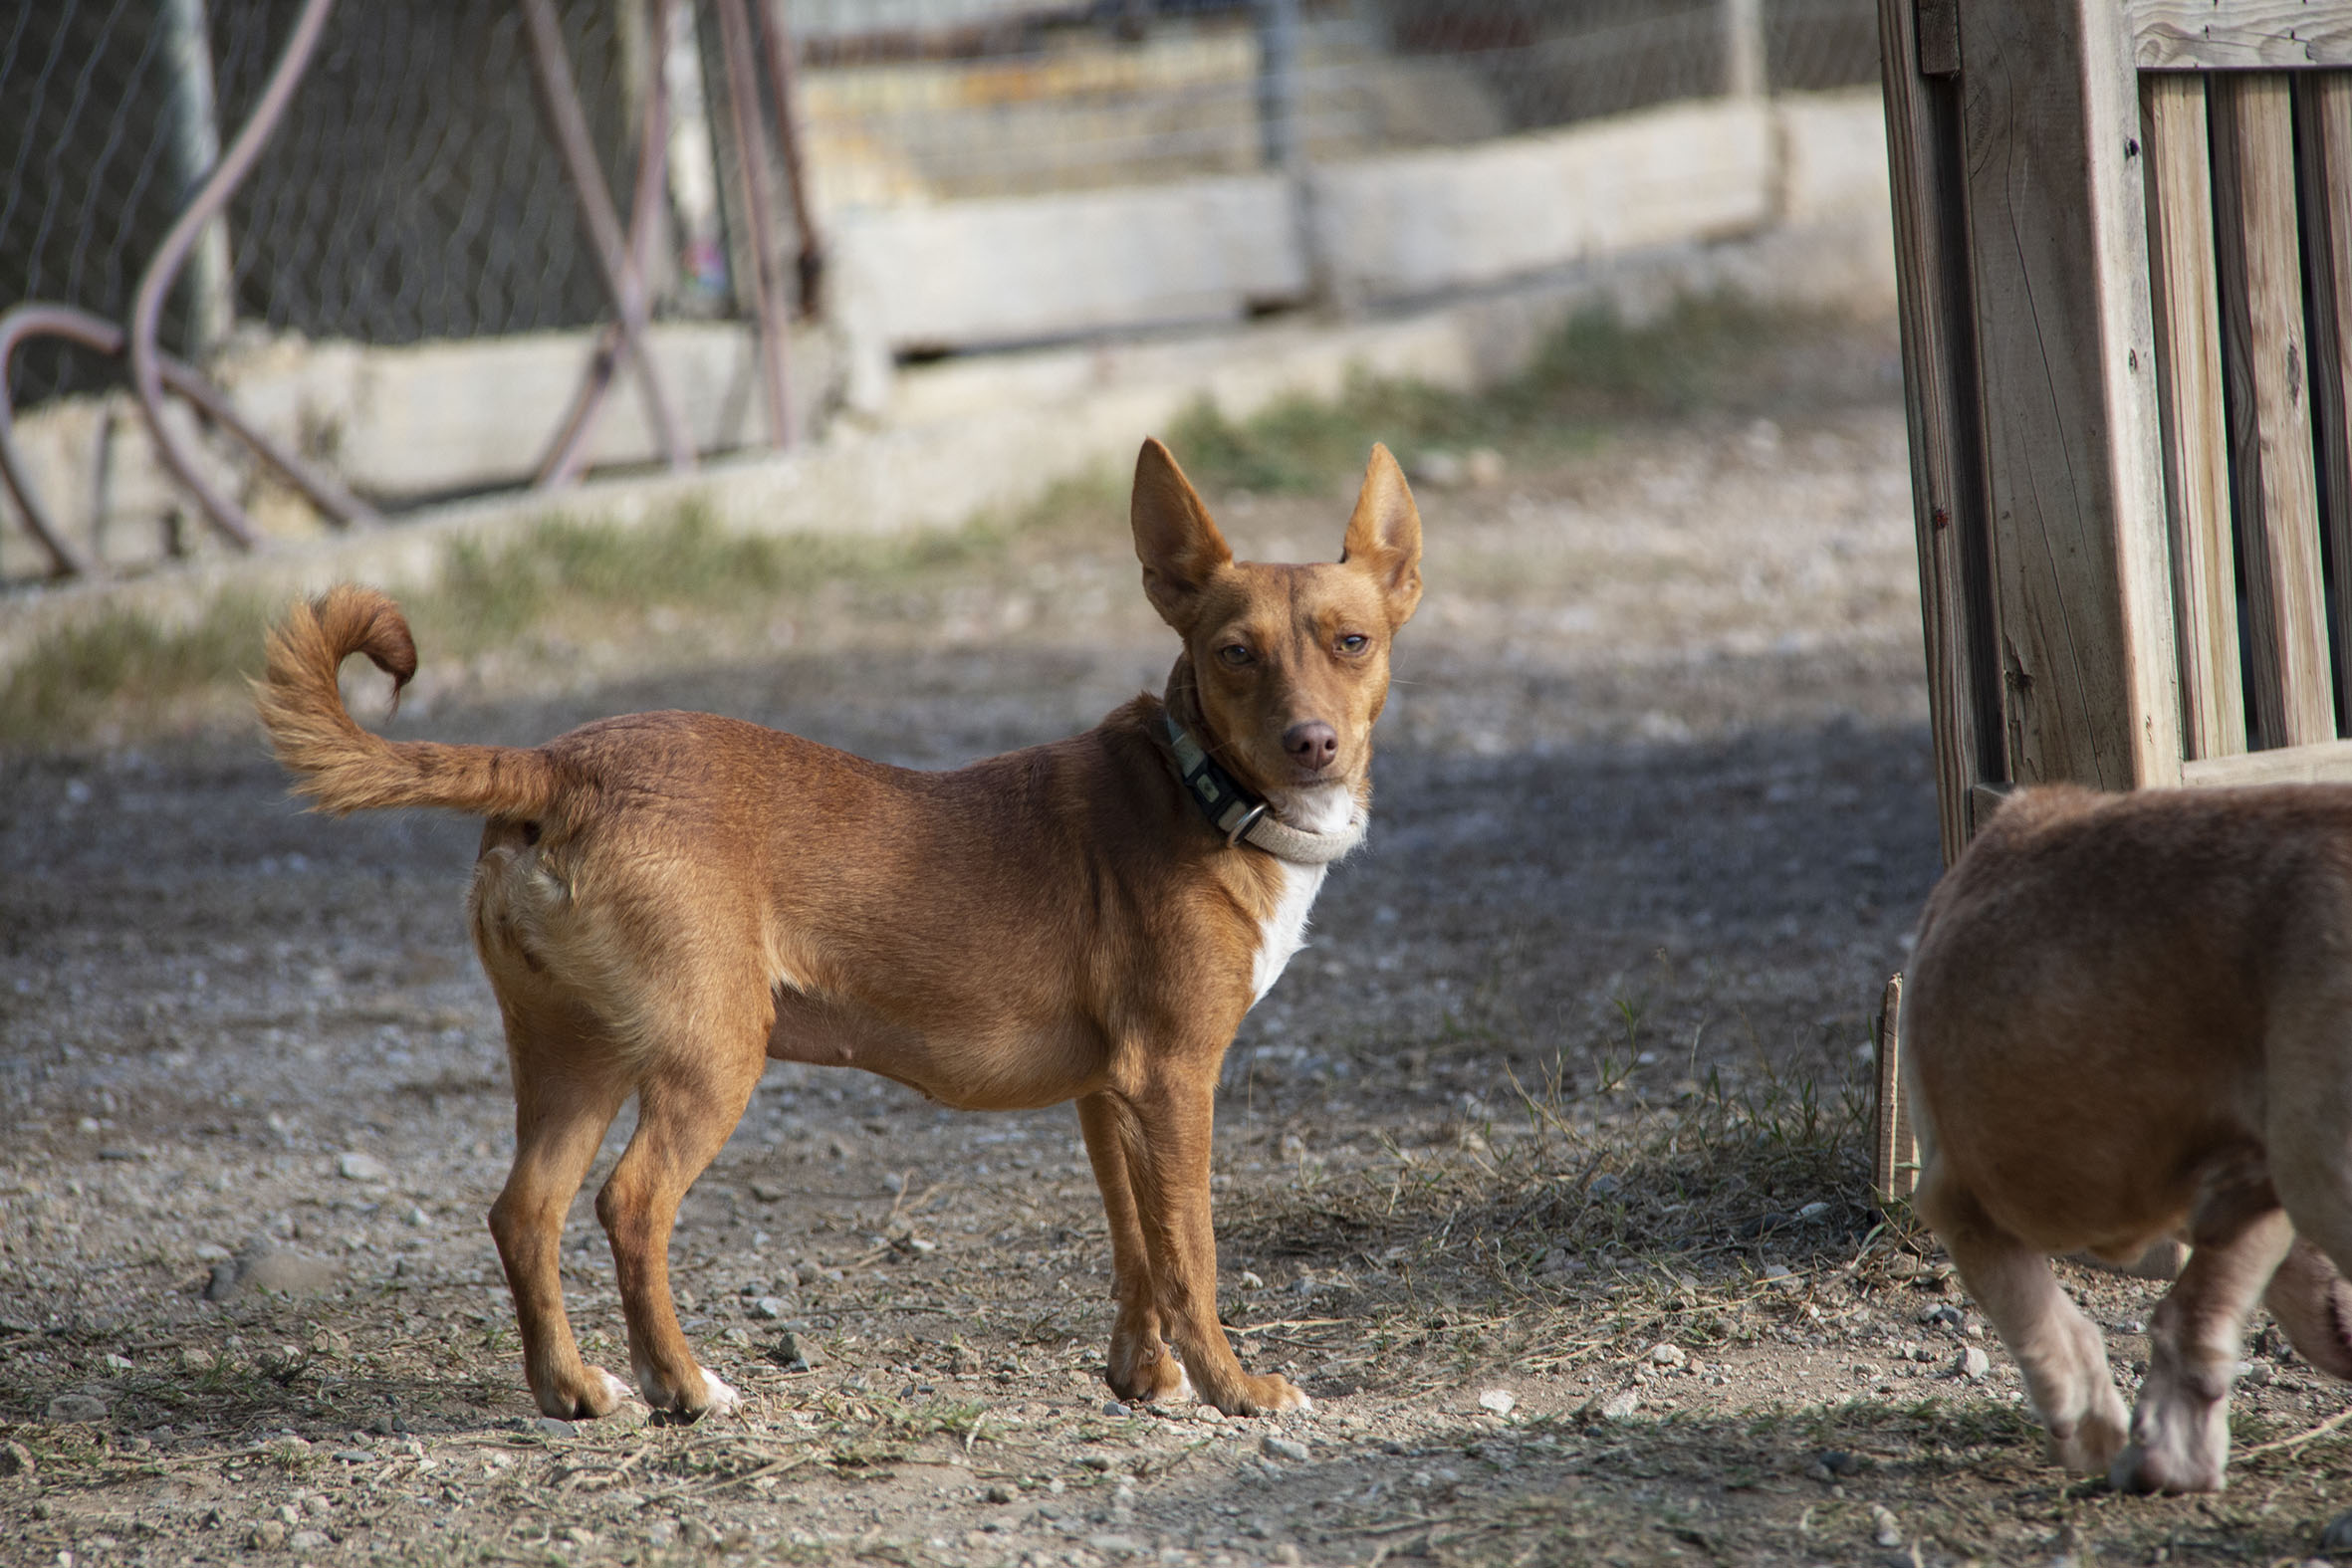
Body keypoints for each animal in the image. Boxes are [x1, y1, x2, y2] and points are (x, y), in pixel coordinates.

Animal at [255, 437, 1423, 1423]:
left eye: (1352, 643)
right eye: (1234, 654)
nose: (1311, 741)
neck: (1197, 787)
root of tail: (560, 765)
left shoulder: (1109, 1095)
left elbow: (1136, 1247)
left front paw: (1145, 1378)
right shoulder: (1175, 1079)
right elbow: (1192, 1253)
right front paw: (1234, 1387)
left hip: (572, 1055)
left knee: (523, 1213)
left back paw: (575, 1389)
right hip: (712, 1054)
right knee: (629, 1204)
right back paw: (684, 1386)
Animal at [1906, 783, 2352, 1492]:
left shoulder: (1957, 1201)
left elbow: (2046, 1324)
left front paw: (2096, 1429)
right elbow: (2200, 1308)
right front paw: (2172, 1449)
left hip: (2322, 1175)